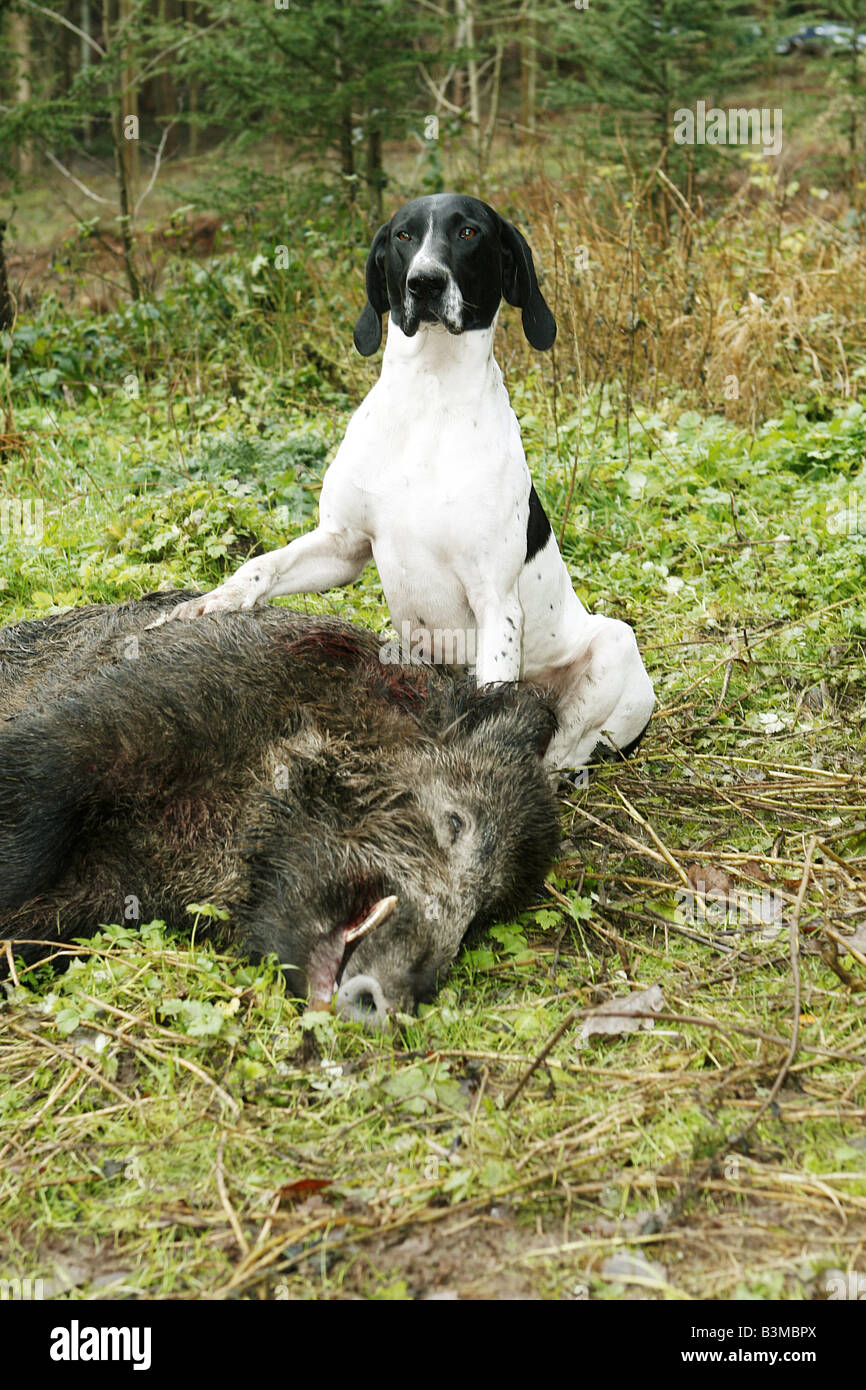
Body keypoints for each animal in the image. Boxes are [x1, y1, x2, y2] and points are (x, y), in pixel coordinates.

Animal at [162, 193, 653, 772]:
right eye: (403, 236)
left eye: (468, 232)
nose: (425, 282)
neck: (431, 396)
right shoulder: (342, 546)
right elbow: (260, 566)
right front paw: (209, 604)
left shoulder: (495, 601)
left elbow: (494, 702)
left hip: (614, 645)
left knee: (563, 748)